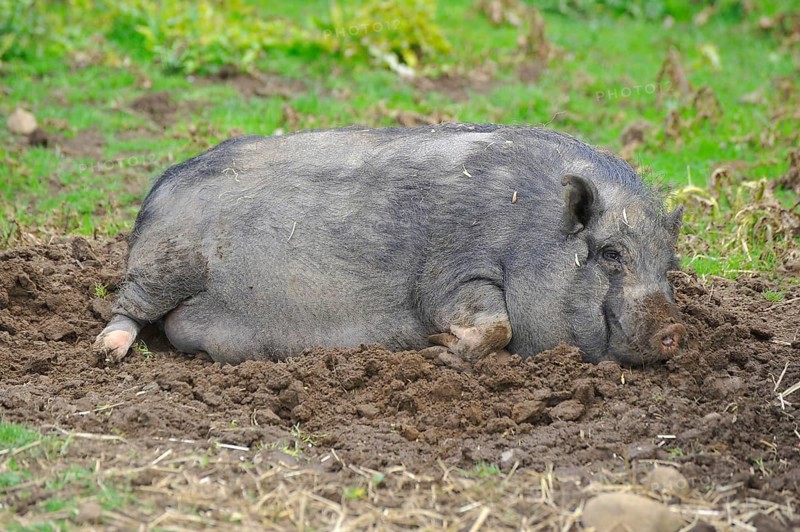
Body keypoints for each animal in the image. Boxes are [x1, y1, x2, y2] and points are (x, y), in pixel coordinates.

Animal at [94, 123, 686, 366]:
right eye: (611, 254)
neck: (529, 237)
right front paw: (437, 347)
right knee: (127, 308)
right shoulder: (454, 270)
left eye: (670, 265)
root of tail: (160, 185)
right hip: (165, 263)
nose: (675, 331)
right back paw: (107, 352)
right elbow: (494, 322)